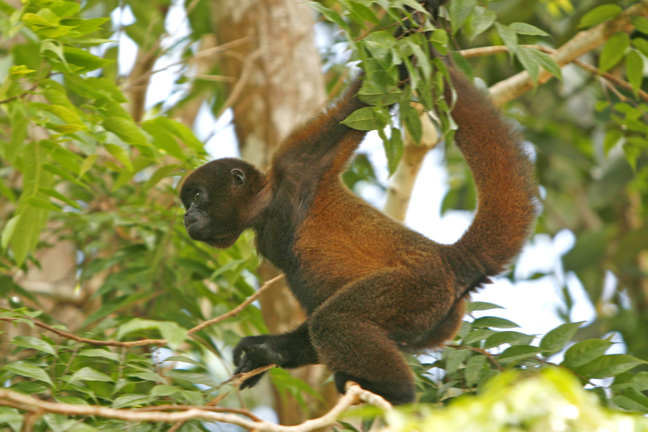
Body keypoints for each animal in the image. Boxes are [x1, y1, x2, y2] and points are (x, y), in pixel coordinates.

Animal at [179, 6, 537, 406]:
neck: (268, 206)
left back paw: (396, 392)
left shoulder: (298, 160)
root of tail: (450, 258)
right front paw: (267, 353)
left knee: (337, 320)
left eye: (197, 196)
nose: (186, 216)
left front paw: (417, 18)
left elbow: (366, 98)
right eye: (188, 202)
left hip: (418, 286)